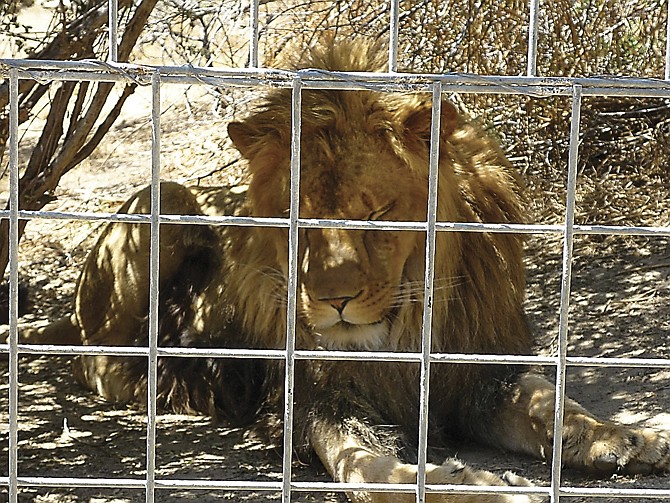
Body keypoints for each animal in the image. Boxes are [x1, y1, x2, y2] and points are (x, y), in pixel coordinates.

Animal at [23, 40, 668, 503]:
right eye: (298, 220)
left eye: (376, 214)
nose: (333, 302)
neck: (400, 333)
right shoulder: (314, 402)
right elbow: (370, 468)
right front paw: (478, 487)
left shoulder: (479, 370)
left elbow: (549, 402)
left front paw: (625, 437)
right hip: (164, 198)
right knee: (96, 356)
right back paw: (171, 379)